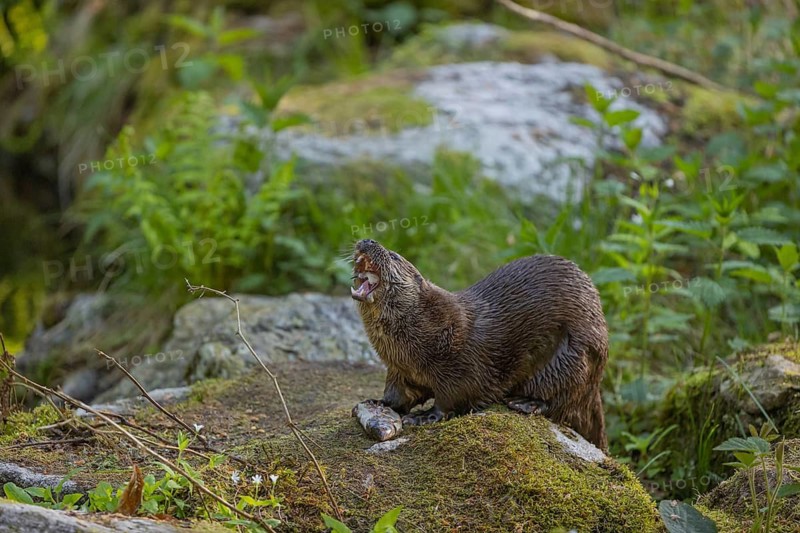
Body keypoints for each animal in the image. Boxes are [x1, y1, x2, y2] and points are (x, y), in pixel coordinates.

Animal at [350, 239, 608, 450]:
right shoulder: (400, 370)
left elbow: (452, 398)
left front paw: (424, 416)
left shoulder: (461, 365)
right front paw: (378, 402)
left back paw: (526, 403)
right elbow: (398, 394)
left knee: (563, 400)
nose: (367, 240)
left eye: (394, 255)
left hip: (572, 355)